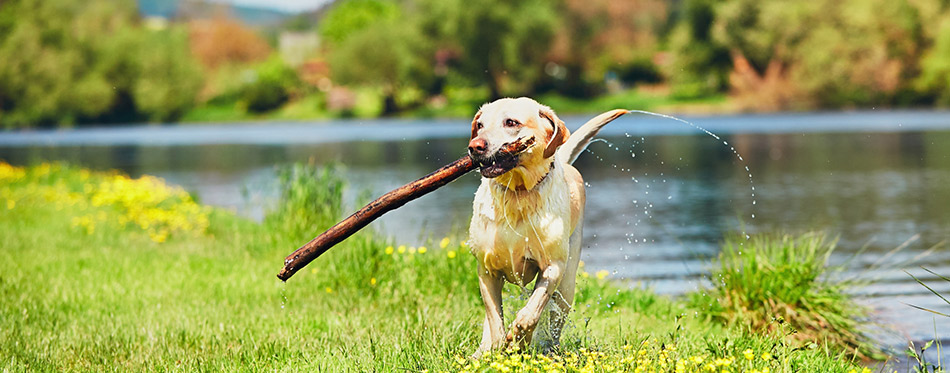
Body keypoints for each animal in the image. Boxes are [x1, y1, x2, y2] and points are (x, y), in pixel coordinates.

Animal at [466, 97, 628, 356]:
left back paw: (549, 350)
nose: (475, 146)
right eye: (479, 125)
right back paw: (481, 352)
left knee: (554, 318)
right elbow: (494, 320)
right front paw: (497, 347)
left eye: (511, 122)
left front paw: (520, 339)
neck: (518, 193)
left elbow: (531, 312)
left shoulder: (553, 267)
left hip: (567, 284)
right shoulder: (487, 270)